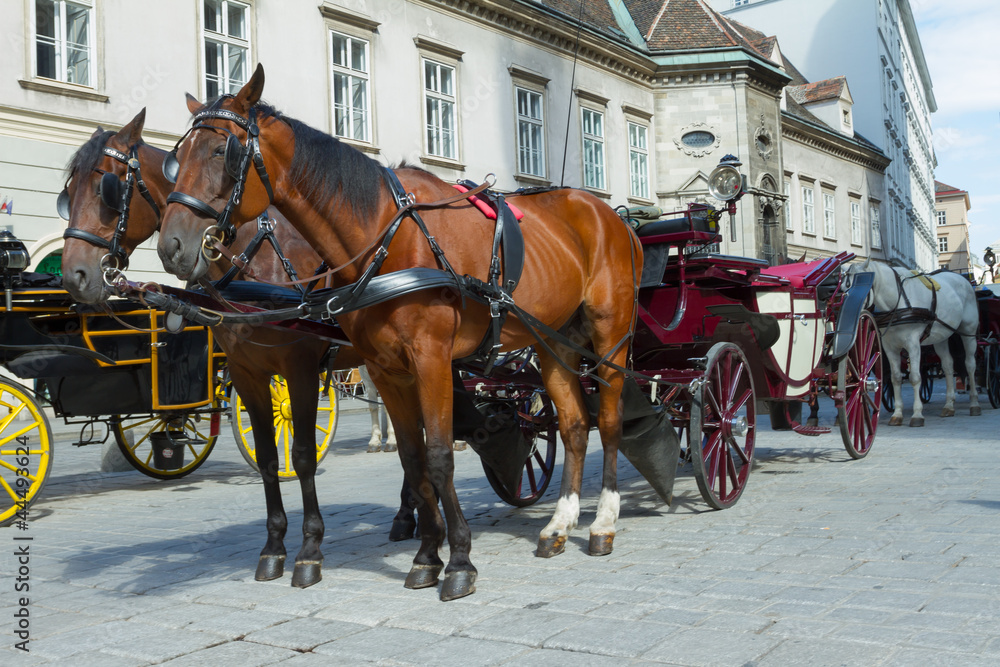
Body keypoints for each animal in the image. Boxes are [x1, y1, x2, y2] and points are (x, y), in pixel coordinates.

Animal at [57, 109, 356, 588]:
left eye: (109, 188)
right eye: (67, 194)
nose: (74, 276)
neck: (249, 260)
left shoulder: (300, 371)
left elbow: (303, 456)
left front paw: (310, 549)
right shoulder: (248, 373)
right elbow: (268, 458)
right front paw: (274, 547)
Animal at [156, 65, 640, 604]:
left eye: (223, 151)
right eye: (176, 159)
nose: (172, 246)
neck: (387, 236)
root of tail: (608, 213)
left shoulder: (423, 361)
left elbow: (437, 456)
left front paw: (459, 561)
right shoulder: (383, 369)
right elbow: (411, 457)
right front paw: (428, 555)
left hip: (610, 336)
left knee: (609, 419)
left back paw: (602, 523)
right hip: (551, 339)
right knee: (574, 424)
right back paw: (560, 524)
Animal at [852, 260, 984, 428]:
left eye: (862, 283)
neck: (898, 305)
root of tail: (963, 280)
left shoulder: (913, 344)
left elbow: (915, 377)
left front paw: (917, 415)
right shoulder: (889, 347)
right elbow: (895, 378)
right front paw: (897, 414)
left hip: (969, 333)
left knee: (970, 365)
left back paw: (974, 404)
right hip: (941, 337)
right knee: (948, 366)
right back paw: (949, 405)